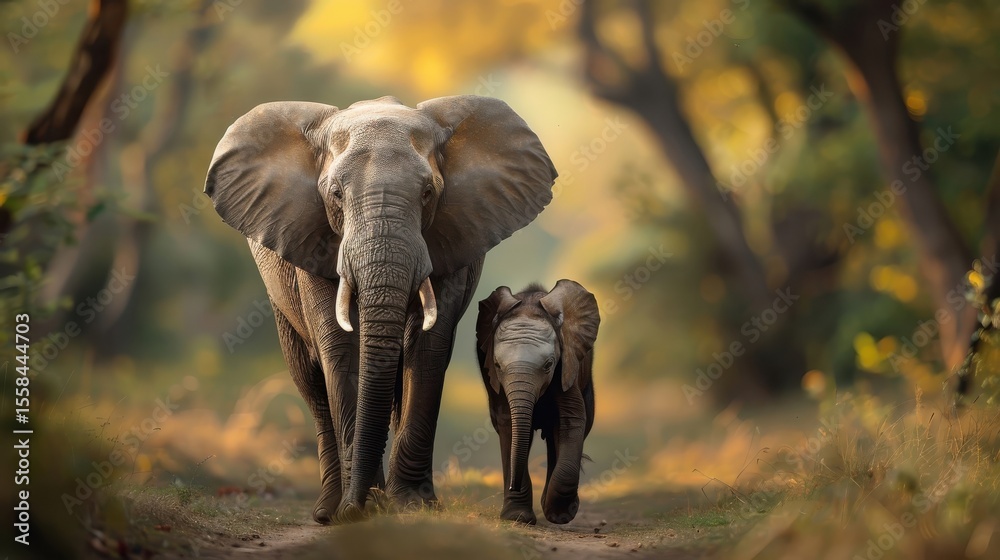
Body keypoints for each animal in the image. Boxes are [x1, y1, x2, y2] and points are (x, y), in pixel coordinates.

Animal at [204, 95, 556, 523]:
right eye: (336, 194)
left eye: (427, 192)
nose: (356, 507)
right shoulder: (313, 238)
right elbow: (340, 349)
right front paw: (362, 507)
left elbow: (429, 347)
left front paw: (410, 504)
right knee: (309, 380)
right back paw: (328, 508)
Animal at [475, 280, 600, 525]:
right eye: (497, 365)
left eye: (549, 364)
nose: (512, 485)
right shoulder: (491, 376)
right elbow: (508, 424)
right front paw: (517, 517)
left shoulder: (568, 364)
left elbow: (572, 419)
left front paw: (560, 514)